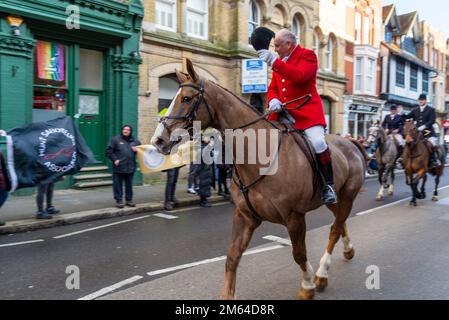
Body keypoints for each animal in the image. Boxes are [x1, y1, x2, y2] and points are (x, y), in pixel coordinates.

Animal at [150, 59, 368, 300]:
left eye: (187, 99)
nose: (158, 140)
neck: (259, 156)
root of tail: (350, 142)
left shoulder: (294, 217)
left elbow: (299, 254)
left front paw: (307, 284)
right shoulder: (245, 216)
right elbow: (232, 257)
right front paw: (227, 294)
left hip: (346, 196)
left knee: (335, 229)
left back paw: (321, 273)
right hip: (332, 199)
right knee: (340, 224)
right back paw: (347, 252)